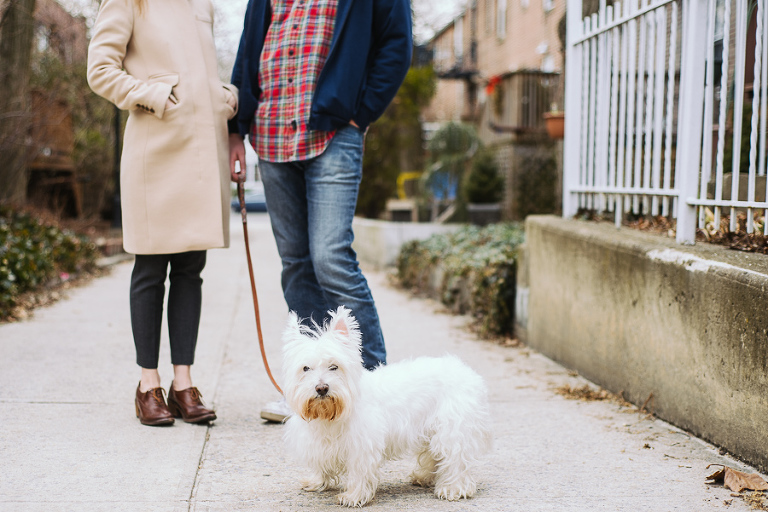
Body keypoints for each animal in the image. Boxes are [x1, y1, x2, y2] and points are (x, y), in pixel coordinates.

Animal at [280, 306, 492, 506]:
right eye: (305, 368)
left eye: (334, 366)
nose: (322, 388)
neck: (330, 414)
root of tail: (466, 370)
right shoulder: (320, 444)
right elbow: (321, 464)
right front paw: (317, 482)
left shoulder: (362, 446)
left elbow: (359, 473)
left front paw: (353, 496)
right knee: (434, 455)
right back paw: (423, 477)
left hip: (453, 429)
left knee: (455, 460)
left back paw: (452, 488)